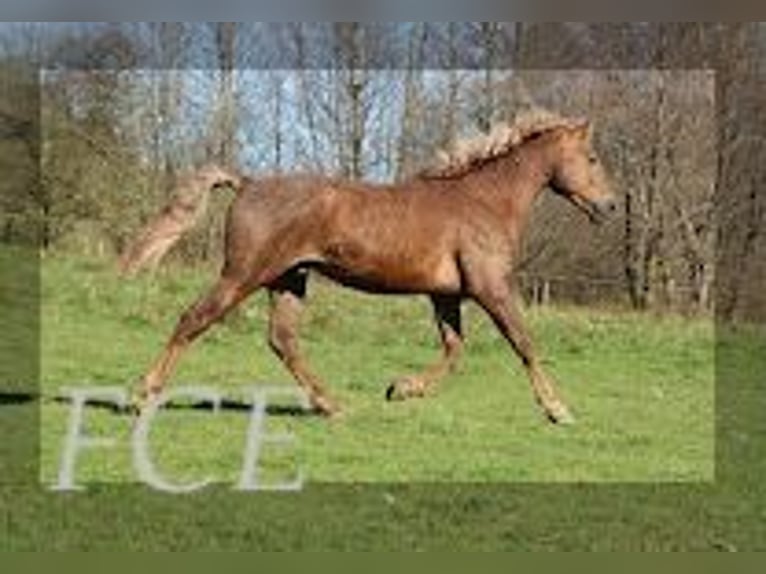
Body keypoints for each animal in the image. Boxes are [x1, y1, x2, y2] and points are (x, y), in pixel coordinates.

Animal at [124, 110, 616, 428]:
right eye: (592, 158)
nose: (609, 206)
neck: (484, 201)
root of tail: (248, 182)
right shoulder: (490, 287)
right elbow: (524, 343)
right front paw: (559, 410)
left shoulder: (445, 294)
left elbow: (455, 350)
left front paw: (400, 389)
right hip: (243, 274)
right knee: (193, 320)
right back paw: (141, 397)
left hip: (289, 280)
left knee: (282, 340)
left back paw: (332, 406)